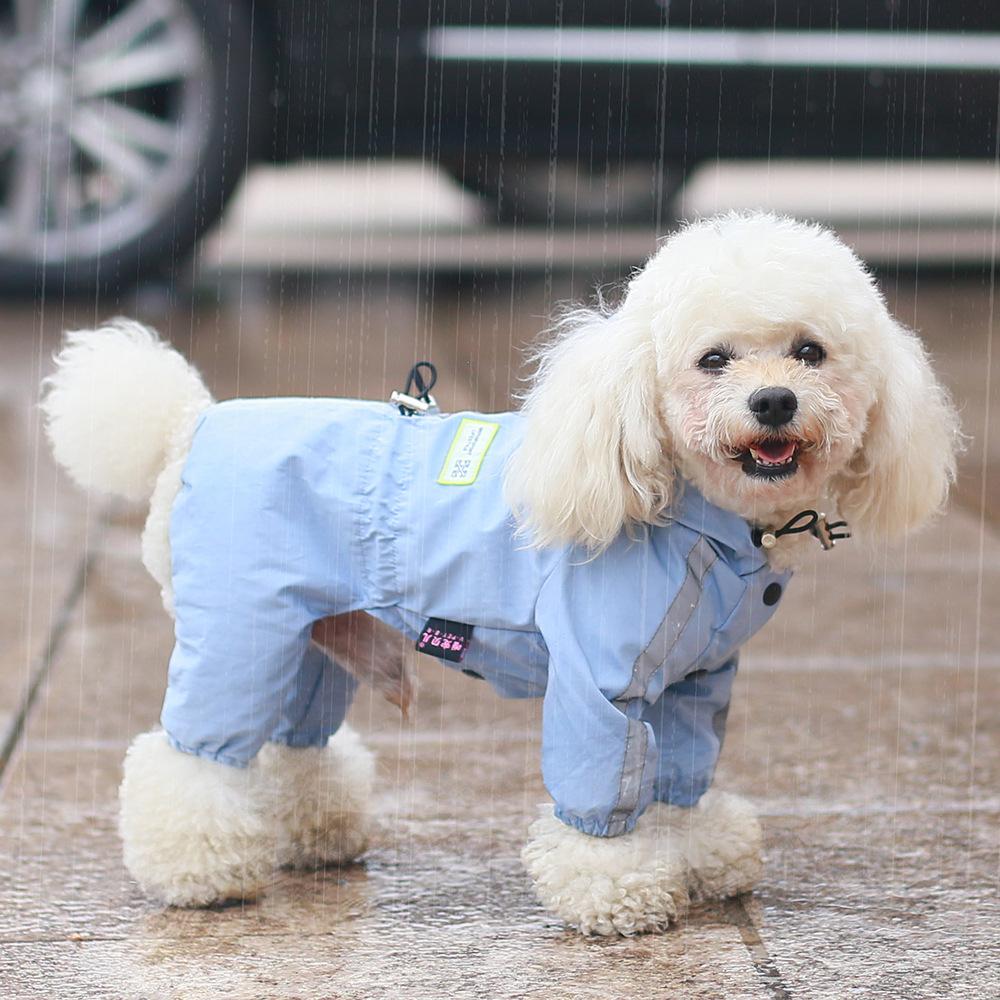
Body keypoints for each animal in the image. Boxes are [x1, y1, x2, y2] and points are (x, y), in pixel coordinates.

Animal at [41, 213, 960, 936]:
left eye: (811, 351)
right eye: (712, 360)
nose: (774, 401)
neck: (703, 522)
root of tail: (188, 424)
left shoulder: (698, 681)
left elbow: (678, 776)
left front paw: (695, 853)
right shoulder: (602, 683)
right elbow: (602, 785)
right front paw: (618, 888)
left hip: (310, 639)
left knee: (292, 745)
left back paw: (314, 833)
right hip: (240, 626)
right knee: (192, 756)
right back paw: (199, 872)